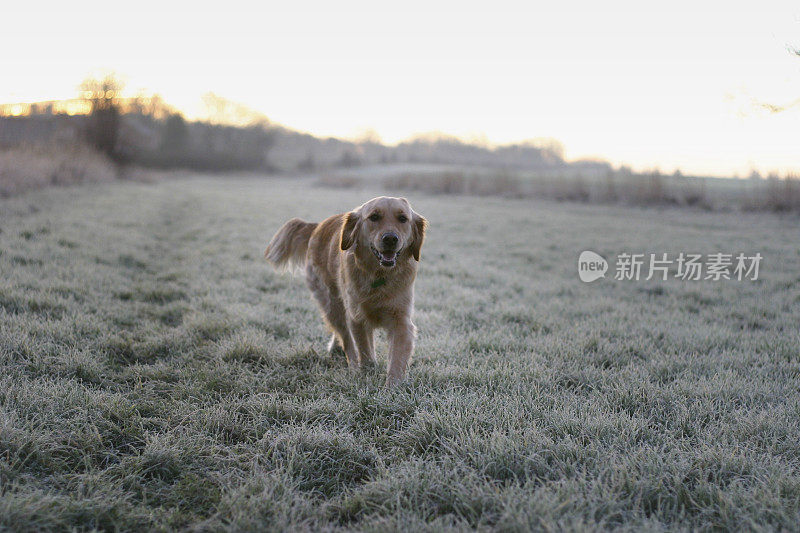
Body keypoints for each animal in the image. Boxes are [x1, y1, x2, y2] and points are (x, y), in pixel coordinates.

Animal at [262, 197, 424, 384]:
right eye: (374, 217)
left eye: (403, 219)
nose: (390, 239)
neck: (379, 275)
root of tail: (318, 226)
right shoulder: (357, 317)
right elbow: (364, 351)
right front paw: (367, 373)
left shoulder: (401, 319)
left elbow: (397, 358)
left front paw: (393, 386)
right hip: (332, 305)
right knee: (346, 339)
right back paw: (352, 365)